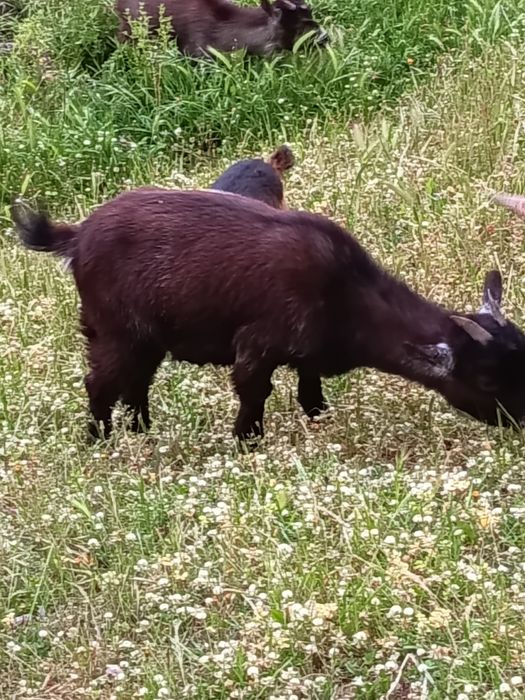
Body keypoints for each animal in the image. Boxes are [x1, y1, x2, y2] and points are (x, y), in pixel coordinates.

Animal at [11, 189, 525, 442]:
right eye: (486, 381)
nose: (520, 422)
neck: (345, 292)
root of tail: (77, 237)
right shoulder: (257, 345)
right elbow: (253, 394)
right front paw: (245, 444)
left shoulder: (309, 355)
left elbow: (311, 396)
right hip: (113, 327)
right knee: (100, 383)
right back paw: (100, 442)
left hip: (146, 337)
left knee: (137, 381)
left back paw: (142, 432)